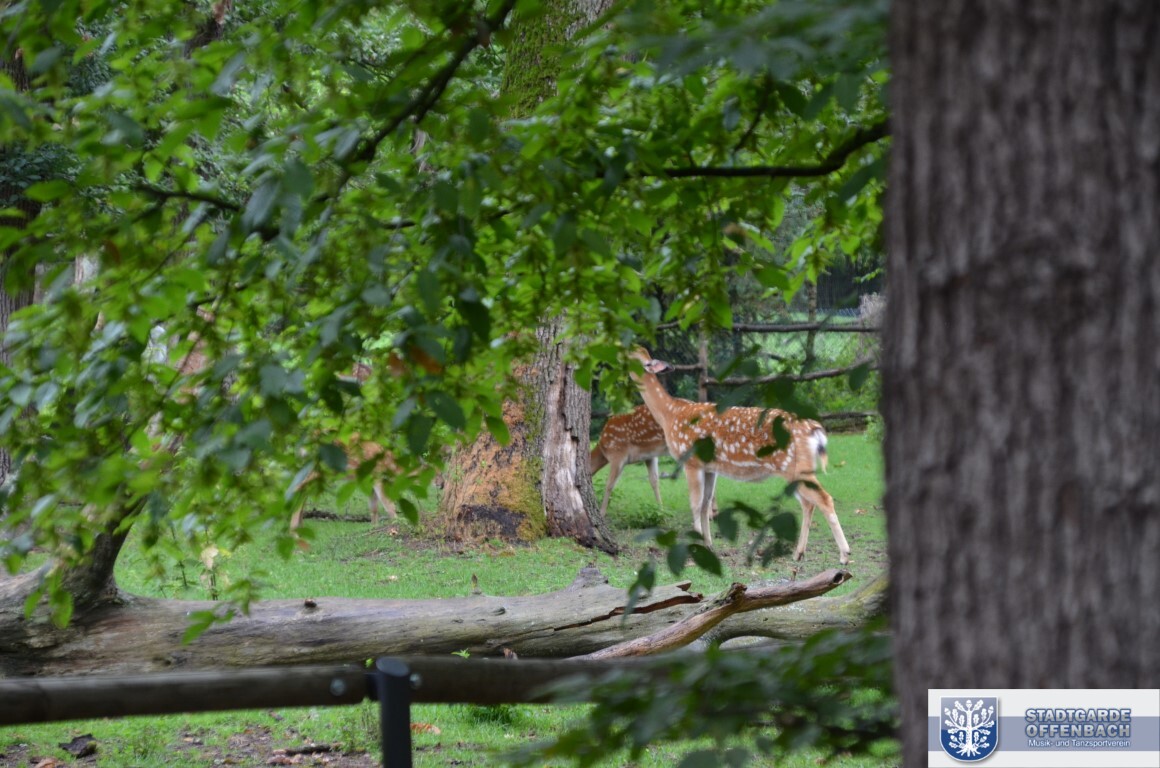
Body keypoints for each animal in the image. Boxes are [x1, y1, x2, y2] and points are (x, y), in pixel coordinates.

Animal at [628, 347, 850, 565]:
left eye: (630, 353)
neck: (669, 414)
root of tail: (815, 429)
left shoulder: (691, 461)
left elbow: (696, 504)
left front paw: (696, 546)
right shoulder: (710, 467)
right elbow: (706, 504)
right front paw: (708, 545)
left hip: (794, 467)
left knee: (824, 498)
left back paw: (844, 555)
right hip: (796, 469)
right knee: (808, 503)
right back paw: (798, 553)